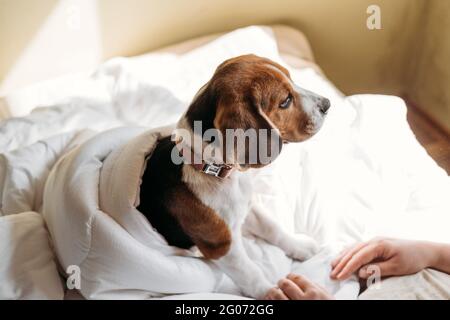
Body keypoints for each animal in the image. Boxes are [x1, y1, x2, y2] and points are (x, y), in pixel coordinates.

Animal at [139, 54, 332, 298]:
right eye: (285, 101)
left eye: (292, 78)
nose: (327, 104)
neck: (213, 170)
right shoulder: (222, 245)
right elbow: (250, 271)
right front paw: (271, 292)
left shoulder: (247, 205)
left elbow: (272, 227)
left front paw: (299, 245)